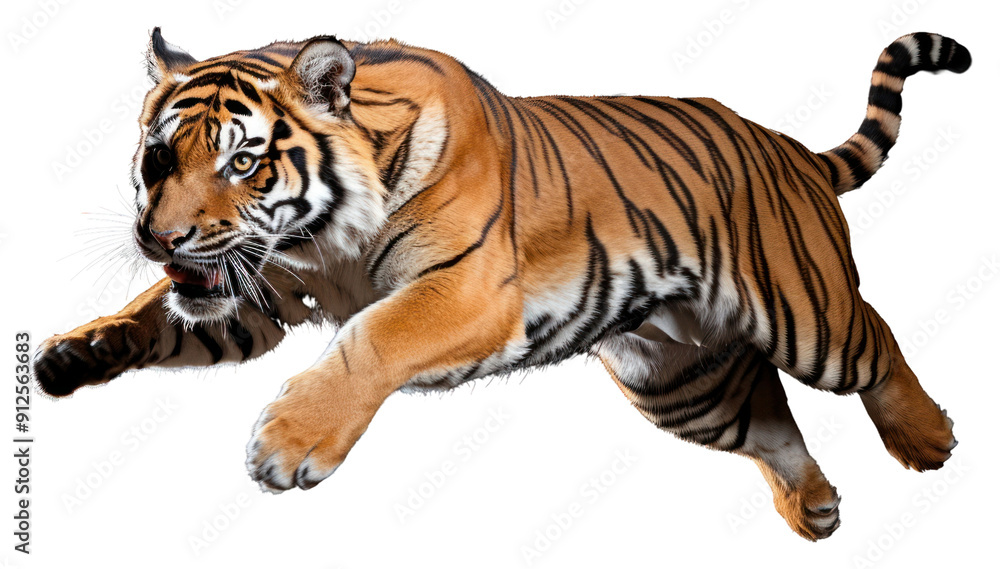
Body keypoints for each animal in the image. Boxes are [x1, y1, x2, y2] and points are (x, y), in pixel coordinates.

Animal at [32, 28, 970, 540]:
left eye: (242, 162)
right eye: (160, 157)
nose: (161, 238)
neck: (319, 244)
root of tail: (788, 145)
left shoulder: (466, 291)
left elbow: (372, 337)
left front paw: (290, 444)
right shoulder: (260, 289)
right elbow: (160, 315)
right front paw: (75, 353)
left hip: (806, 313)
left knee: (876, 339)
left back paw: (926, 439)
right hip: (679, 379)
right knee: (771, 425)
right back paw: (815, 509)